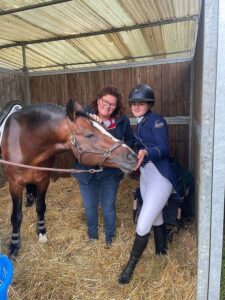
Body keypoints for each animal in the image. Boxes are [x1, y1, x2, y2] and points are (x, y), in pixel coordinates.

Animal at [0, 99, 137, 256]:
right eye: (89, 135)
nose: (132, 156)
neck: (25, 141)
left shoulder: (44, 179)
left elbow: (41, 207)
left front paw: (41, 233)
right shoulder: (14, 184)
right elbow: (16, 216)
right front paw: (14, 246)